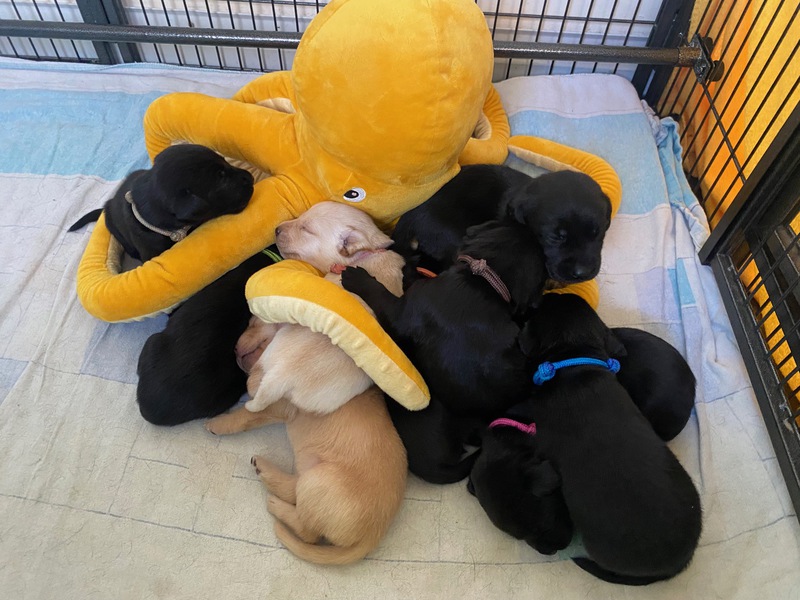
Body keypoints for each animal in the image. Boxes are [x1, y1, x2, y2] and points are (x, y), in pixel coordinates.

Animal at [204, 388, 407, 565]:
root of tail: (374, 532)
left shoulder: (276, 403)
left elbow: (244, 415)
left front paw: (216, 423)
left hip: (316, 481)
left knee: (307, 532)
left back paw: (273, 497)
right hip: (311, 474)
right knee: (294, 491)